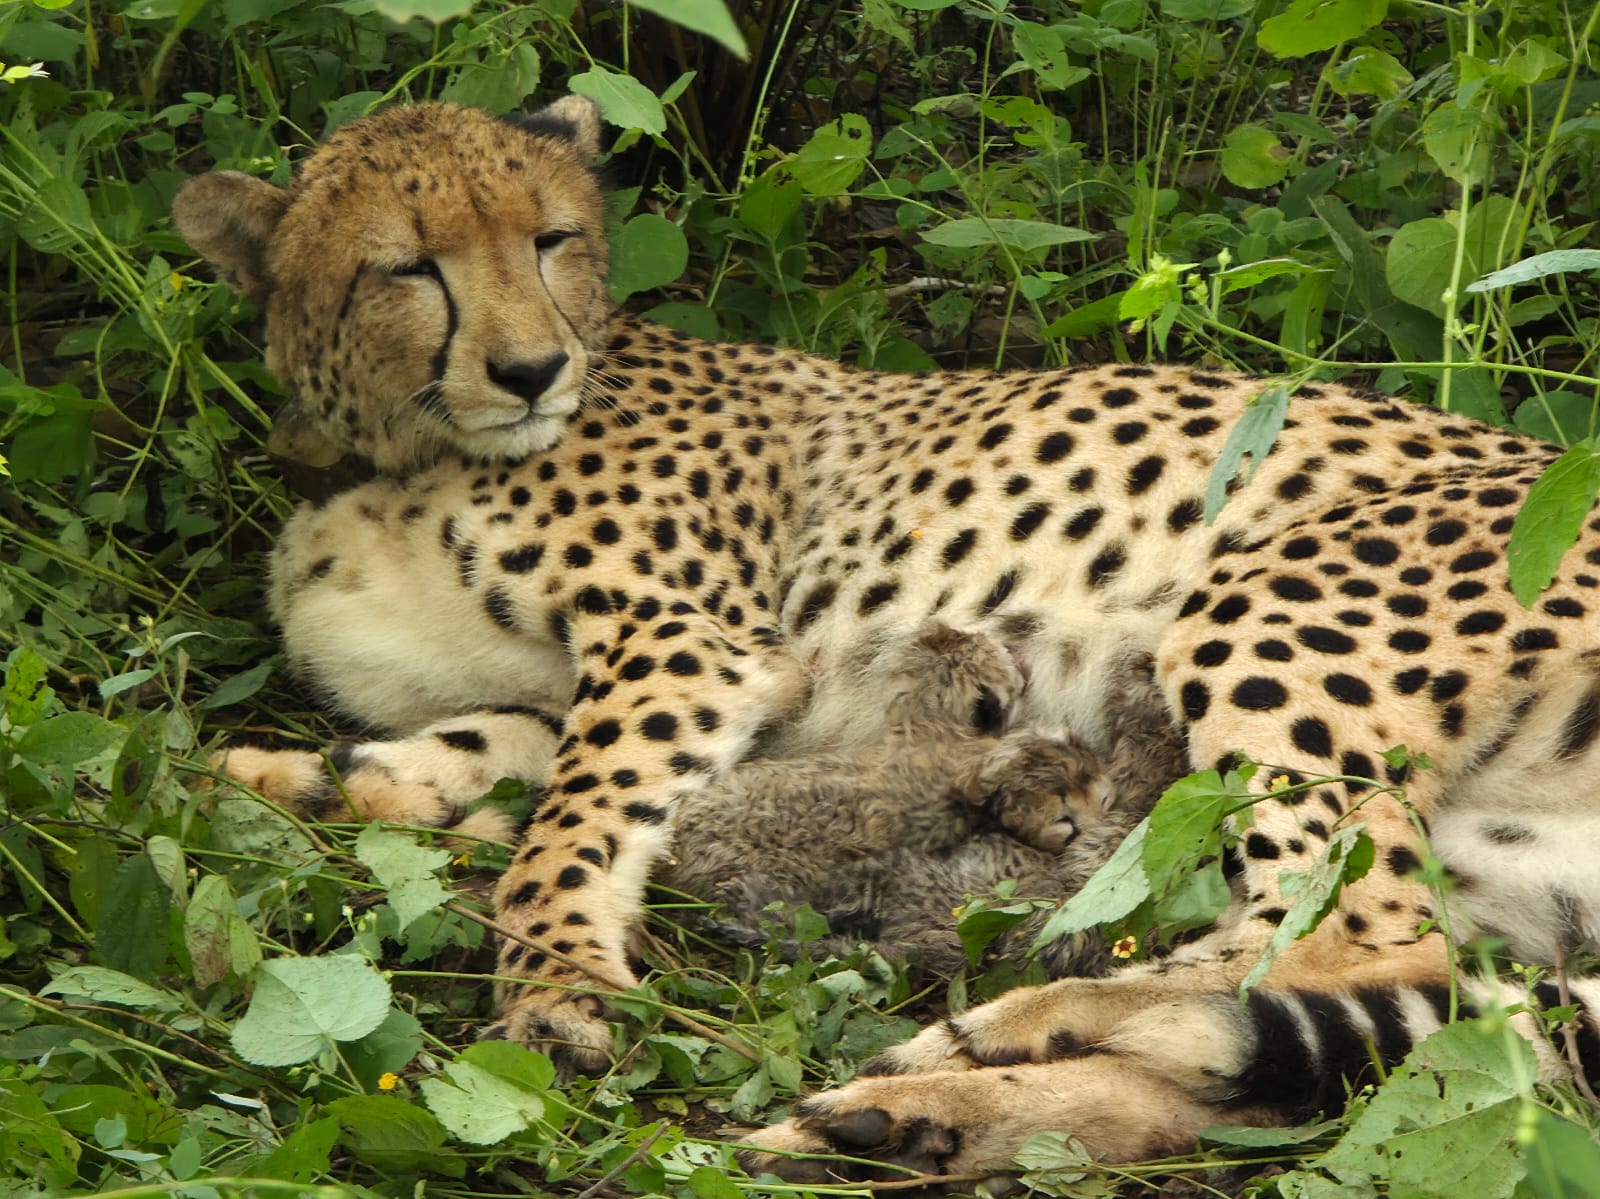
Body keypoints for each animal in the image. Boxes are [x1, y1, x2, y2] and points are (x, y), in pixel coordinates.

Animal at [174, 95, 1600, 1179]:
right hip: (1500, 873)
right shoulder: (593, 682)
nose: (531, 369)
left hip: (1266, 604)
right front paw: (294, 778)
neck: (397, 448)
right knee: (1357, 1047)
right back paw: (911, 1114)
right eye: (407, 265)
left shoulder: (693, 642)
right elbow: (475, 748)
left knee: (1355, 941)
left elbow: (567, 822)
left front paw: (556, 983)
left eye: (550, 239)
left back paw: (998, 1029)